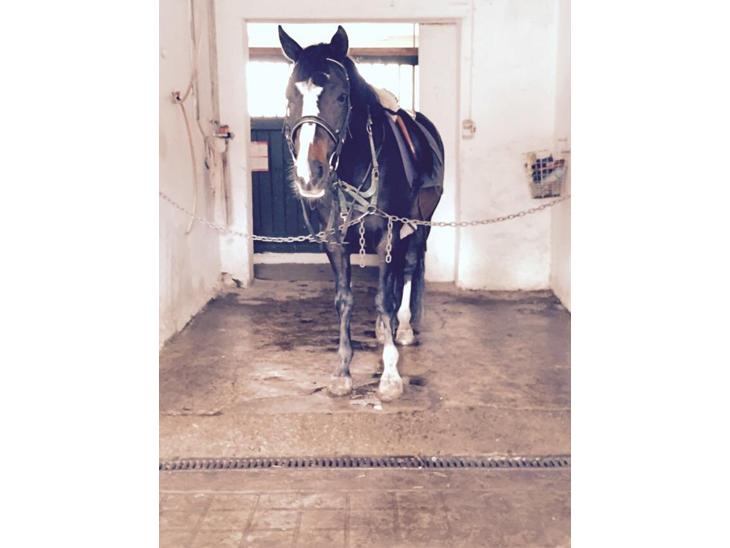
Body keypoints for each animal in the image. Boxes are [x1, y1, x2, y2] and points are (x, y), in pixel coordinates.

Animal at [278, 25, 444, 401]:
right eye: (290, 98)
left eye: (341, 97)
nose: (309, 176)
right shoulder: (334, 241)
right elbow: (345, 300)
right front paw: (342, 372)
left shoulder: (389, 235)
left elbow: (384, 298)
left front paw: (390, 376)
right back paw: (386, 330)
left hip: (420, 224)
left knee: (408, 269)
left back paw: (403, 328)